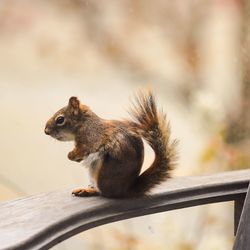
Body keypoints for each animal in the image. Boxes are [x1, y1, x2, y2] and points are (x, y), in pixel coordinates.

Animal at [45, 91, 178, 198]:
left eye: (60, 119)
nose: (46, 131)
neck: (84, 123)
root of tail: (125, 190)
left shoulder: (91, 137)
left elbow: (84, 149)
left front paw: (71, 155)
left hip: (103, 174)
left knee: (104, 193)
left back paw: (88, 191)